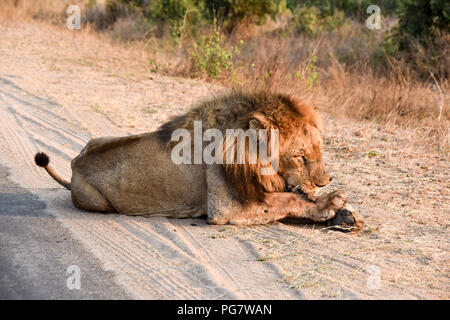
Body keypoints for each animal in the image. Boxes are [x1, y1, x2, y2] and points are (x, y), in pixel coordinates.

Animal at [34, 91, 366, 231]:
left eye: (319, 149)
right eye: (300, 156)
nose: (325, 181)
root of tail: (74, 165)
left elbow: (291, 198)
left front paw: (345, 217)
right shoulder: (224, 208)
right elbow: (286, 201)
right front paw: (332, 204)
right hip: (95, 201)